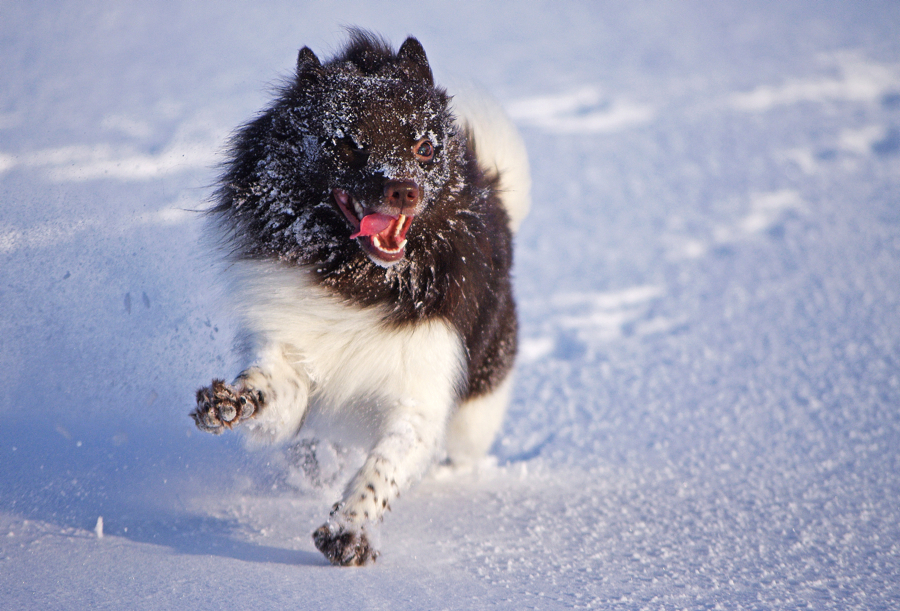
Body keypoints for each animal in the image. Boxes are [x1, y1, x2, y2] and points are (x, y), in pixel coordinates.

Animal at [190, 31, 528, 568]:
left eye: (424, 147)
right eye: (347, 146)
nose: (405, 190)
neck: (359, 281)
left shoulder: (420, 396)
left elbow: (383, 468)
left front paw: (349, 530)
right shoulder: (291, 357)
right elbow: (271, 390)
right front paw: (231, 402)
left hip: (479, 405)